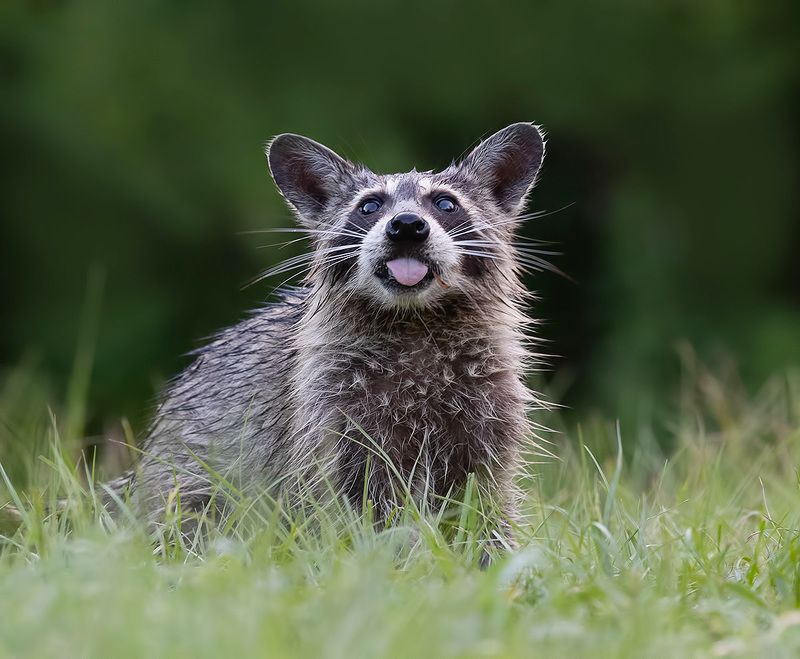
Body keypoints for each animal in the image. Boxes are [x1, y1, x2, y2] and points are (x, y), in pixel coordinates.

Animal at [130, 122, 548, 552]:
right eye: (369, 206)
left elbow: (482, 498)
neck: (414, 317)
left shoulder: (488, 404)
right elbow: (359, 500)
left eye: (446, 204)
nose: (407, 225)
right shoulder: (331, 408)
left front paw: (490, 551)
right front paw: (392, 552)